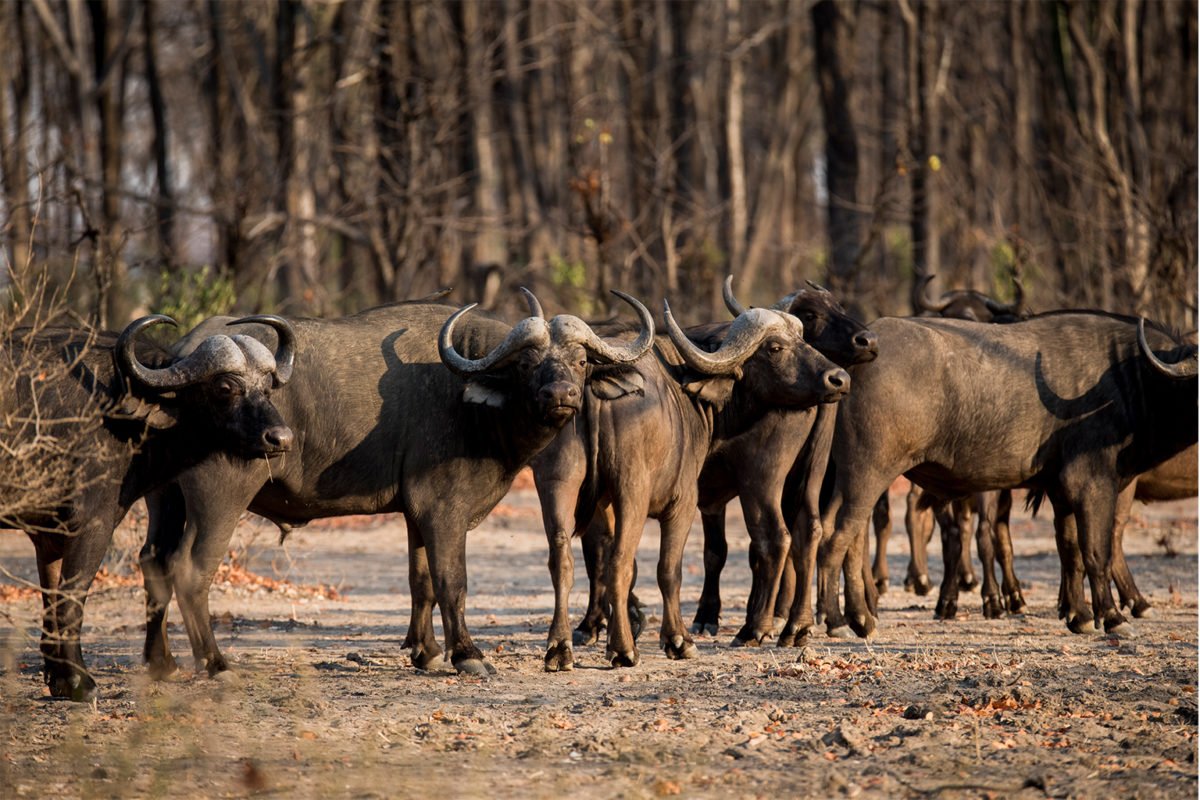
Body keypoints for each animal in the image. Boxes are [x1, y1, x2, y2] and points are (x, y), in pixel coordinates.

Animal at [3, 311, 294, 700]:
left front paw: (59, 679)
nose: (280, 438)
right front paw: (79, 682)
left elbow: (51, 597)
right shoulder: (92, 522)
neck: (119, 402)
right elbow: (73, 596)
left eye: (267, 387)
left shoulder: (47, 532)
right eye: (225, 388)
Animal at [140, 291, 657, 681]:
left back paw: (160, 662)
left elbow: (421, 581)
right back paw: (216, 664)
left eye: (580, 361)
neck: (468, 397)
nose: (561, 396)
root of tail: (178, 358)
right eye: (528, 363)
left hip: (163, 499)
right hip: (218, 499)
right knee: (190, 569)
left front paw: (426, 652)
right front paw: (467, 655)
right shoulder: (442, 509)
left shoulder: (415, 515)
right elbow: (453, 581)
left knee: (154, 563)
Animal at [792, 309, 1195, 642]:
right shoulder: (1094, 485)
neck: (1129, 377)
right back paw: (840, 621)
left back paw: (861, 618)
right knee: (836, 537)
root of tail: (852, 365)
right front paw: (1112, 617)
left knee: (853, 538)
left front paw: (1079, 616)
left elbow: (1070, 551)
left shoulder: (1061, 492)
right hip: (866, 473)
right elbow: (1098, 551)